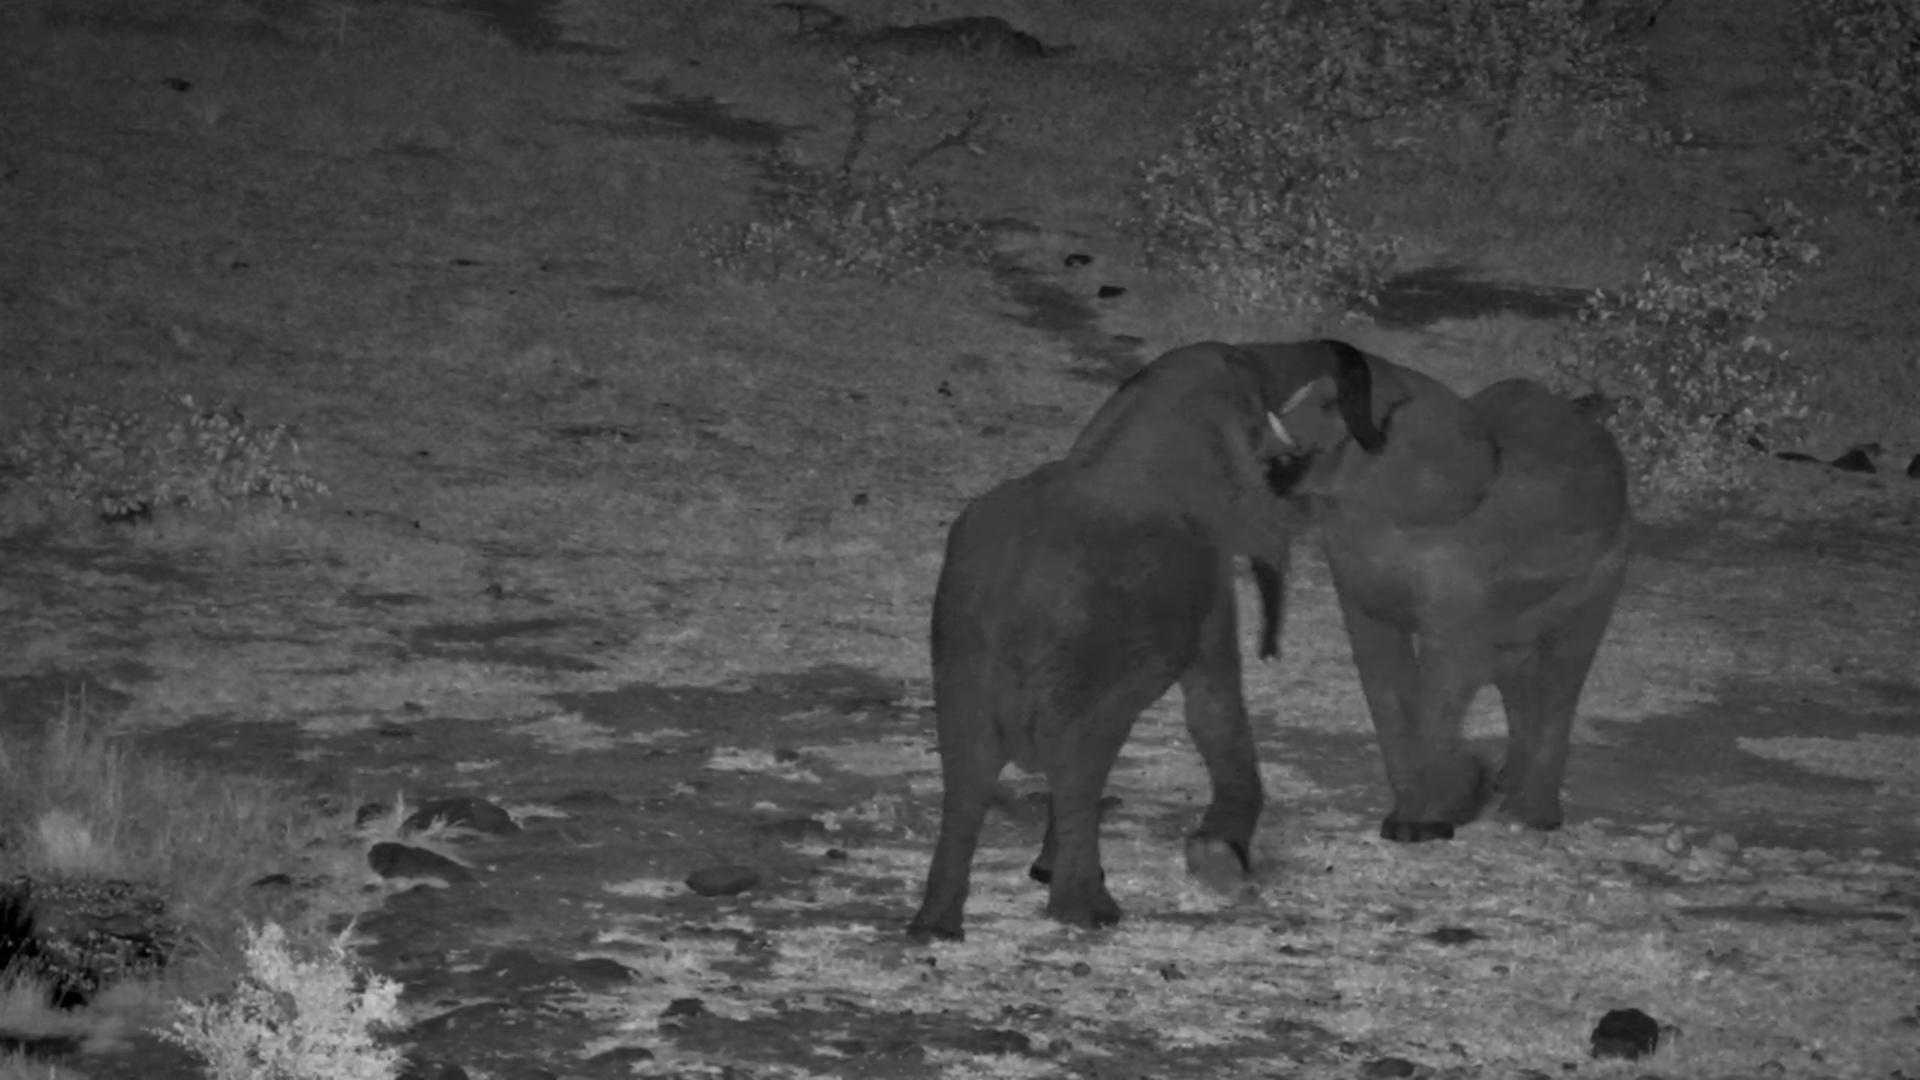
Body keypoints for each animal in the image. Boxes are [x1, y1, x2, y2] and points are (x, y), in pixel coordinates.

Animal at [908, 342, 1299, 941]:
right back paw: (1089, 913)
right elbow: (1211, 706)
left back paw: (937, 927)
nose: (1271, 650)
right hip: (1078, 658)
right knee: (1079, 763)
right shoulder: (1208, 574)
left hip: (961, 654)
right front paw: (1219, 858)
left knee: (967, 770)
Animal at [1252, 338, 1630, 841]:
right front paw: (1439, 807)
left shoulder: (1456, 559)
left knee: (1560, 673)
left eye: (1330, 405)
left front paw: (1425, 820)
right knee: (1516, 670)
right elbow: (1379, 664)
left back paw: (1528, 819)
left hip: (1607, 566)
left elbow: (1450, 666)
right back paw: (1506, 787)